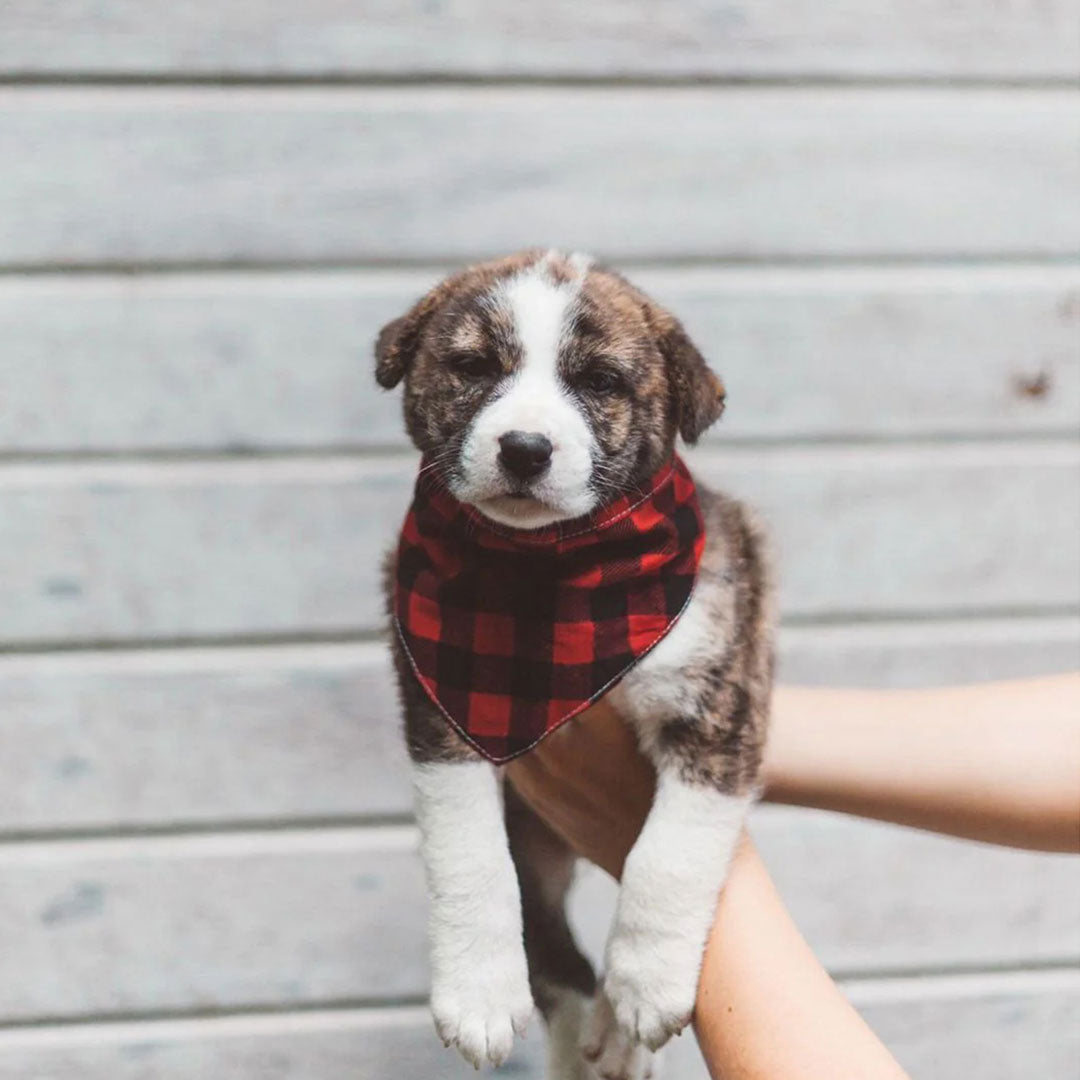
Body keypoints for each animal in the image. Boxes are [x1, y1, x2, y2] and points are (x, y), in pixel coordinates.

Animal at [375, 250, 773, 1080]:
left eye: (601, 381)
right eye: (473, 367)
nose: (525, 449)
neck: (549, 573)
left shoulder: (720, 705)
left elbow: (672, 852)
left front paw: (649, 982)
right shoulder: (442, 714)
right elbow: (468, 853)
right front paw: (479, 994)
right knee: (561, 969)